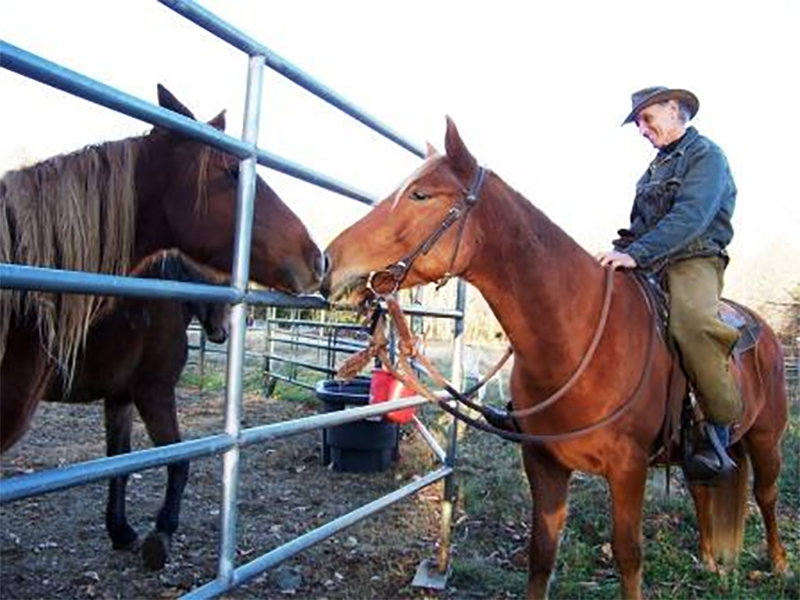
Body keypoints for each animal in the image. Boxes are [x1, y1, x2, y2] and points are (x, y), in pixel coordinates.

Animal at [43, 250, 227, 572]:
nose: (222, 331)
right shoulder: (154, 393)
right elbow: (178, 460)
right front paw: (161, 534)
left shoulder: (120, 398)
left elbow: (119, 464)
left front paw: (121, 532)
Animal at [324, 118, 788, 600]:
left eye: (420, 195)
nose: (330, 261)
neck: (577, 339)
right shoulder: (543, 464)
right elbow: (542, 552)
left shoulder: (628, 470)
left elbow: (628, 556)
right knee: (702, 489)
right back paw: (710, 560)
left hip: (766, 438)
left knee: (767, 495)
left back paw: (778, 564)